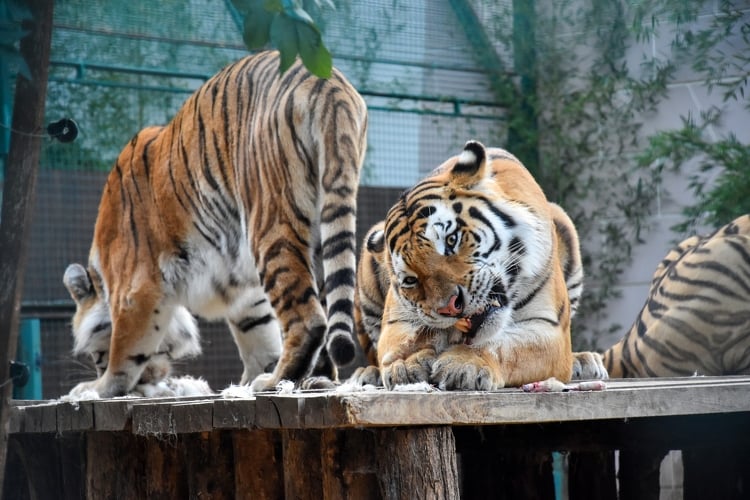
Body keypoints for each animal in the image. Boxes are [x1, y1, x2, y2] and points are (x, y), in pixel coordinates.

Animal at [65, 50, 370, 398]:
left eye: (96, 354)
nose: (95, 366)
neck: (102, 277)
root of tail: (331, 86)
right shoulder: (246, 295)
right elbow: (257, 333)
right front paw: (252, 375)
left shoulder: (134, 289)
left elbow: (125, 350)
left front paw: (97, 387)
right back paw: (312, 379)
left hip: (269, 222)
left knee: (309, 320)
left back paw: (276, 381)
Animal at [352, 141, 600, 390]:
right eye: (411, 280)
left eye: (451, 240)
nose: (451, 307)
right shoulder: (396, 319)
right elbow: (402, 340)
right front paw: (406, 364)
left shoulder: (548, 326)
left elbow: (505, 347)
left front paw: (466, 364)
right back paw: (365, 373)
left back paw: (585, 360)